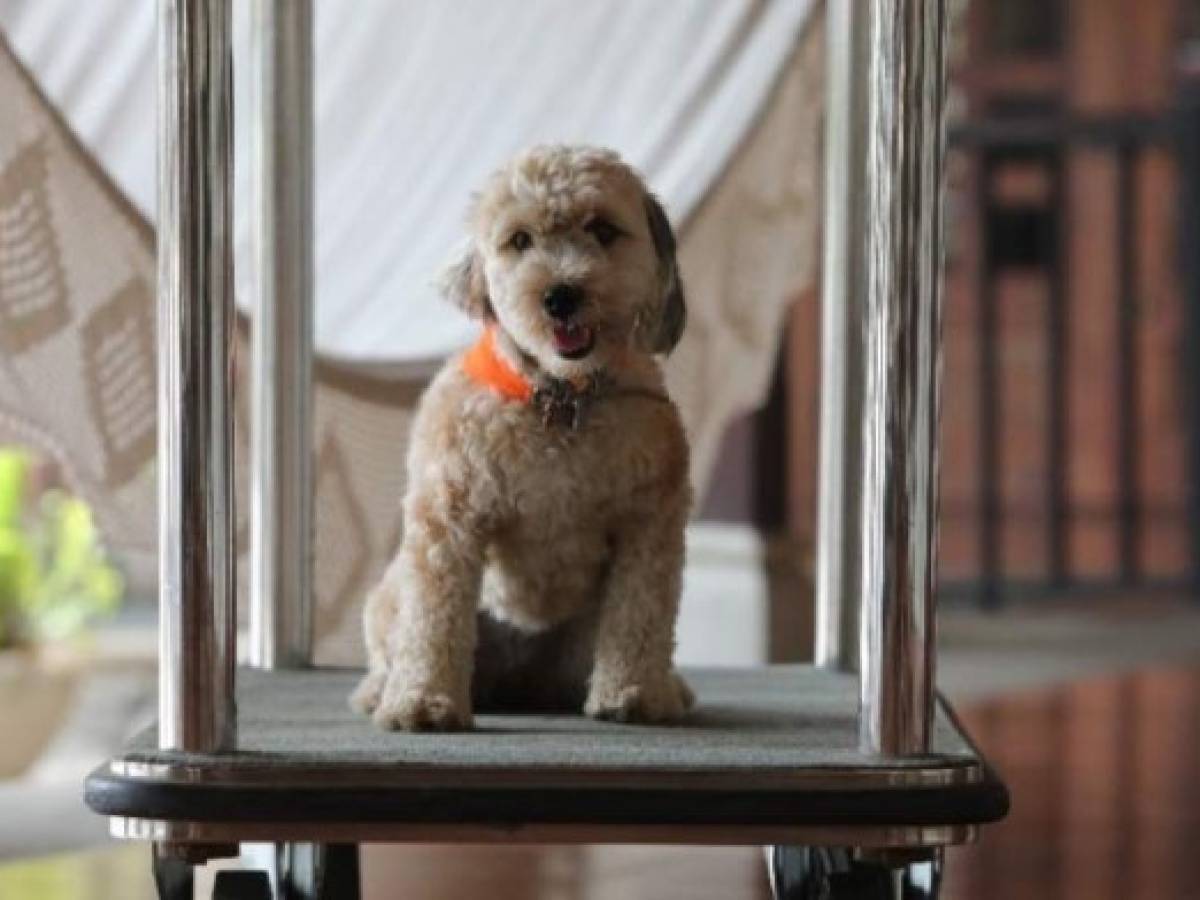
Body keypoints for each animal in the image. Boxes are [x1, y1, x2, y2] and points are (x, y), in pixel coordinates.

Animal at [350, 142, 696, 734]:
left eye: (602, 229)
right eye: (519, 240)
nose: (561, 295)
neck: (560, 398)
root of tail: (518, 681)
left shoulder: (650, 521)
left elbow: (642, 614)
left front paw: (635, 695)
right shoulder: (449, 518)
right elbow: (432, 618)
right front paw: (421, 702)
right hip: (388, 597)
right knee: (389, 644)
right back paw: (381, 692)